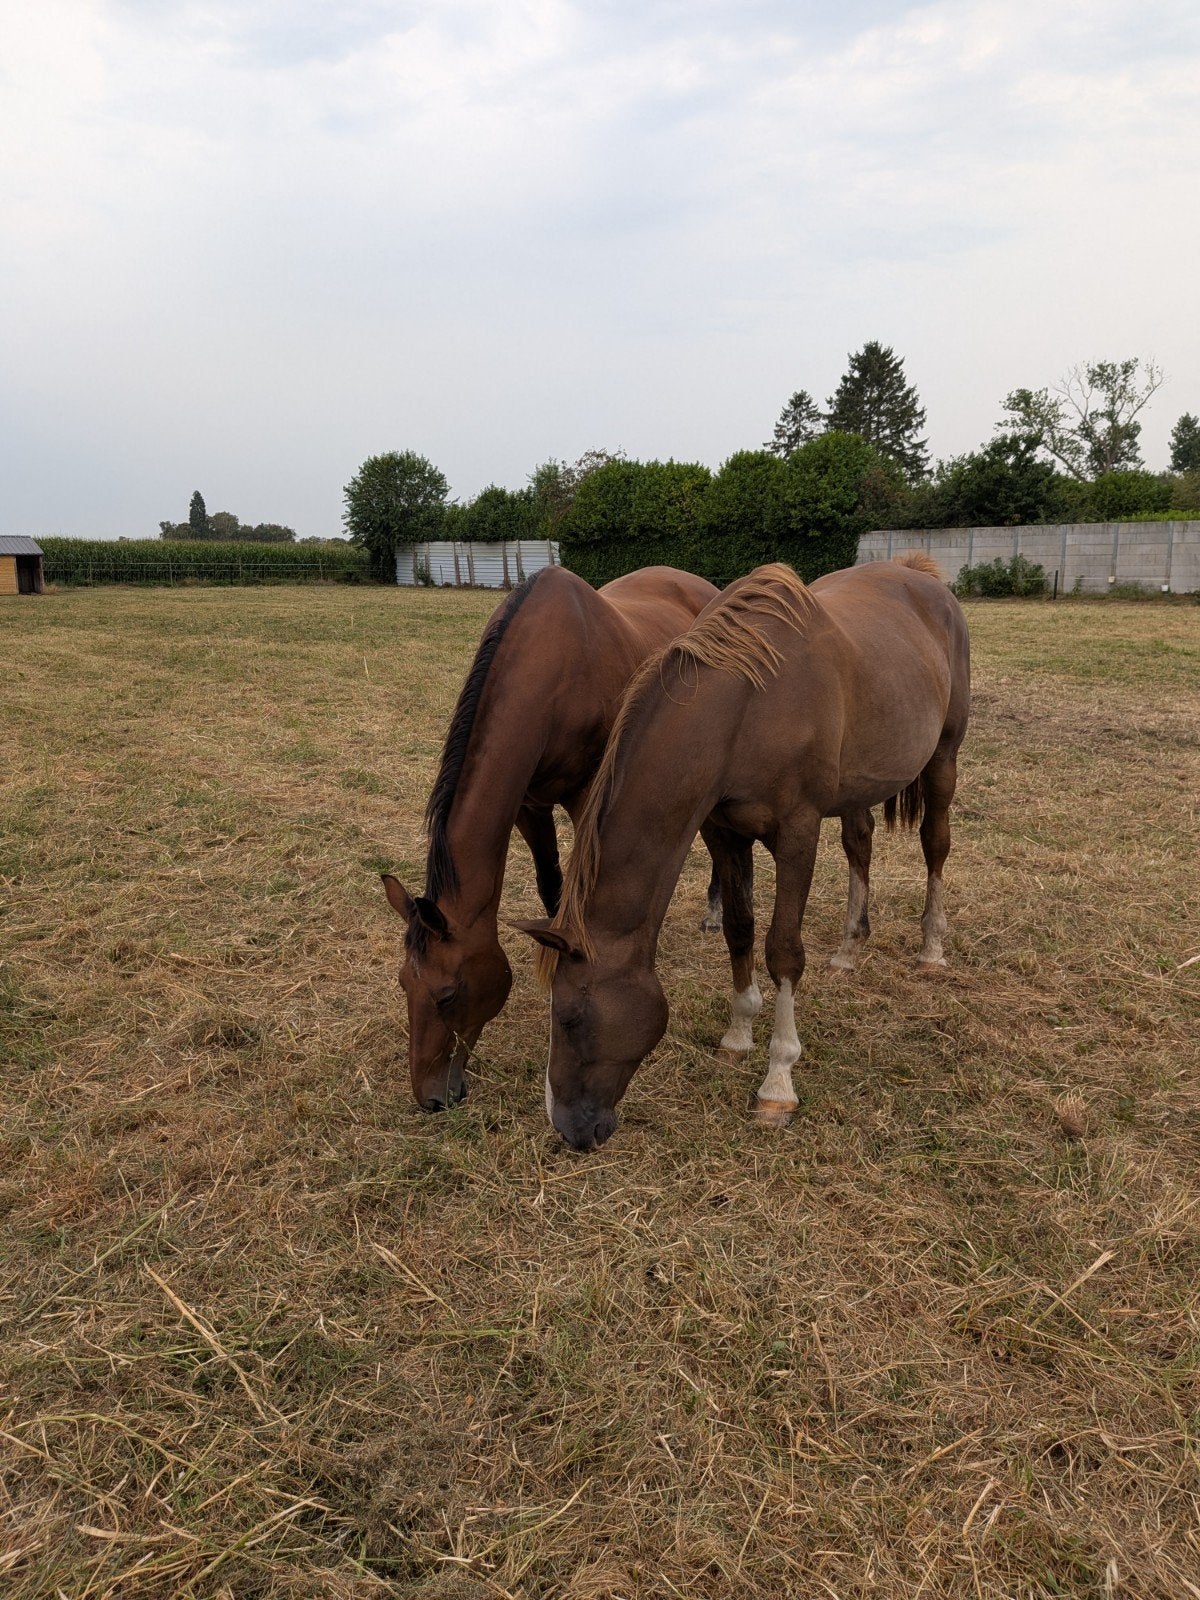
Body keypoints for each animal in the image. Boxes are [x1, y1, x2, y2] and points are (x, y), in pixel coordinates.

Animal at [383, 564, 720, 1111]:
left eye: (448, 994)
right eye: (403, 983)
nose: (431, 1097)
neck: (554, 671)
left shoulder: (589, 801)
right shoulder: (529, 805)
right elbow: (551, 888)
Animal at [515, 553, 971, 1151]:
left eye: (570, 1018)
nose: (570, 1130)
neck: (750, 704)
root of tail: (921, 575)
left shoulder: (797, 832)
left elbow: (782, 950)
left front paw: (778, 1082)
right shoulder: (723, 833)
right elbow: (738, 928)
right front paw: (738, 1033)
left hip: (943, 758)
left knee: (935, 845)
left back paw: (932, 949)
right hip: (858, 787)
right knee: (860, 843)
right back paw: (849, 949)